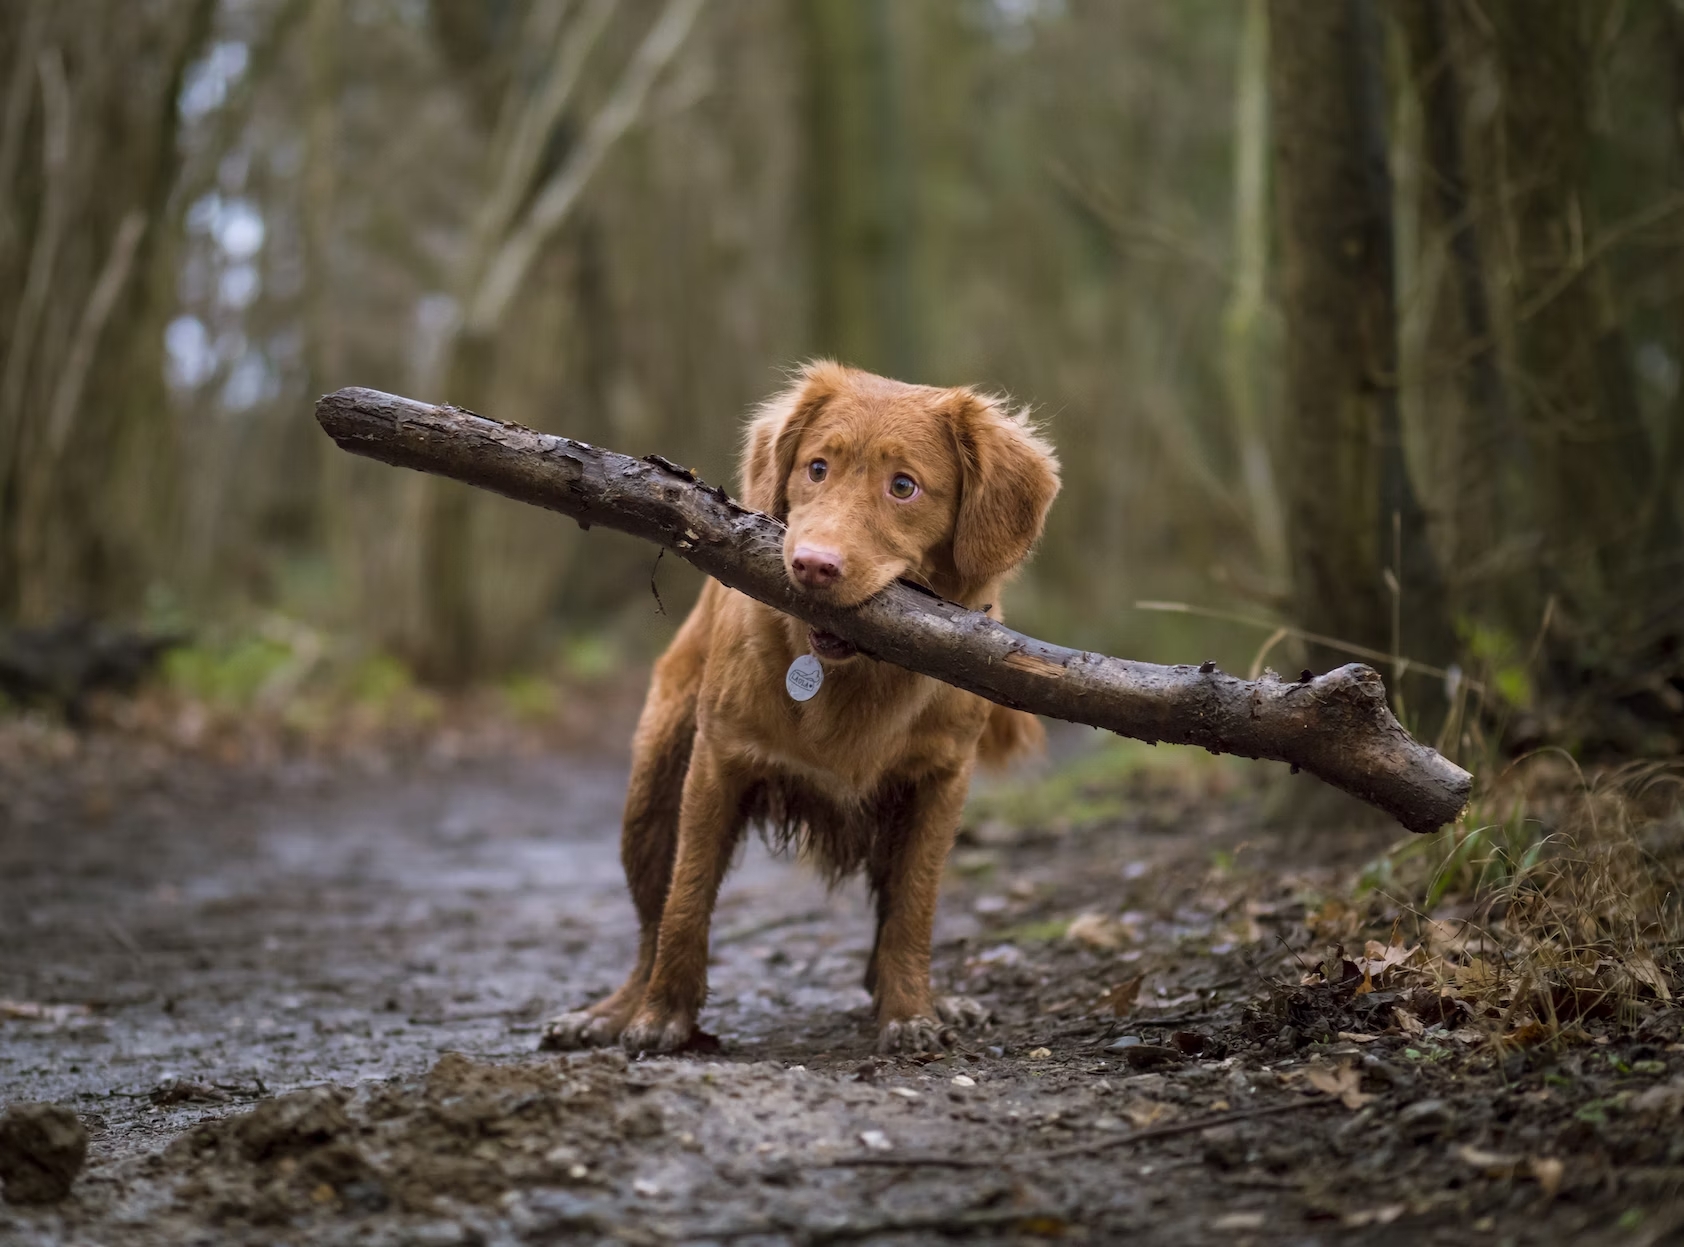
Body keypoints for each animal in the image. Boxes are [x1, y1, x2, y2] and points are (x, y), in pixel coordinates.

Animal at [545, 360, 1057, 1051]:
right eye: (817, 468)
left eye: (904, 487)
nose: (813, 565)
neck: (855, 675)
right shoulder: (717, 762)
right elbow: (686, 900)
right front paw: (662, 1017)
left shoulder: (941, 782)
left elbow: (913, 907)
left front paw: (911, 1012)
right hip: (651, 791)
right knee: (651, 921)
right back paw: (614, 1011)